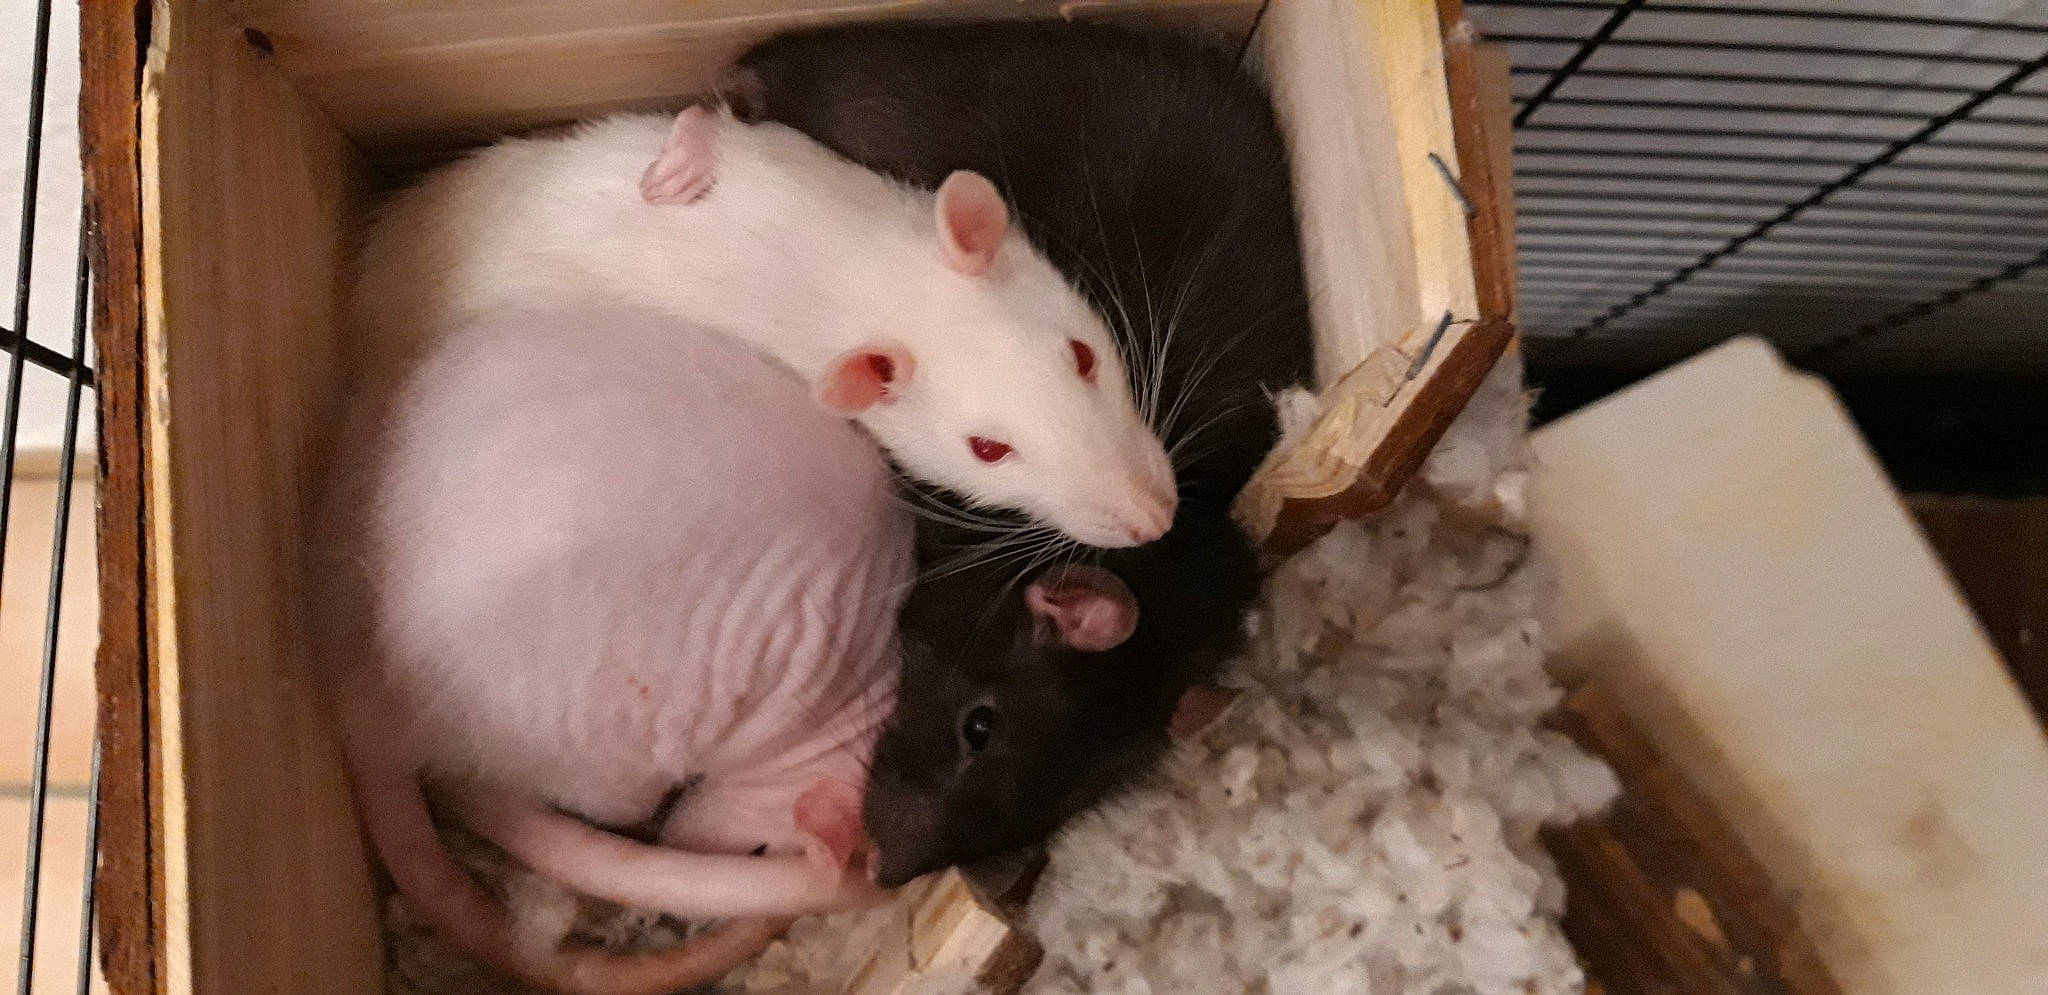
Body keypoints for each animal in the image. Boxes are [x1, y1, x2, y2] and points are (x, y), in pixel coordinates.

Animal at [351, 104, 1175, 549]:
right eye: (989, 450)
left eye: (1083, 356)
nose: (1155, 519)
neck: (868, 279)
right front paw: (679, 162)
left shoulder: (790, 153)